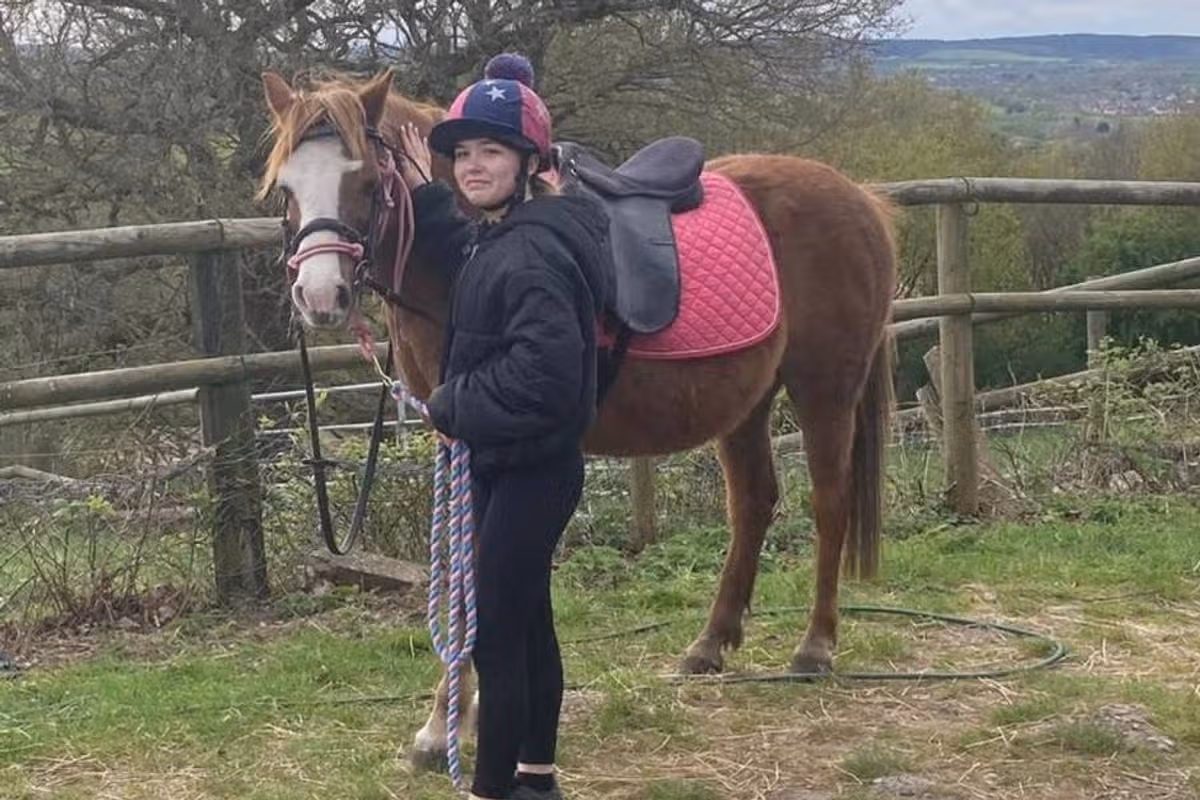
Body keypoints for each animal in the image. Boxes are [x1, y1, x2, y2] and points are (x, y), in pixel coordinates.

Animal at [259, 68, 897, 768]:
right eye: (287, 188)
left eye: (369, 183)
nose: (320, 297)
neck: (467, 259)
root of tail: (860, 198)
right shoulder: (455, 438)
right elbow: (458, 570)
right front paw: (442, 724)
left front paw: (454, 723)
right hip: (748, 403)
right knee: (754, 503)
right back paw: (709, 645)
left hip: (824, 390)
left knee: (828, 503)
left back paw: (815, 647)